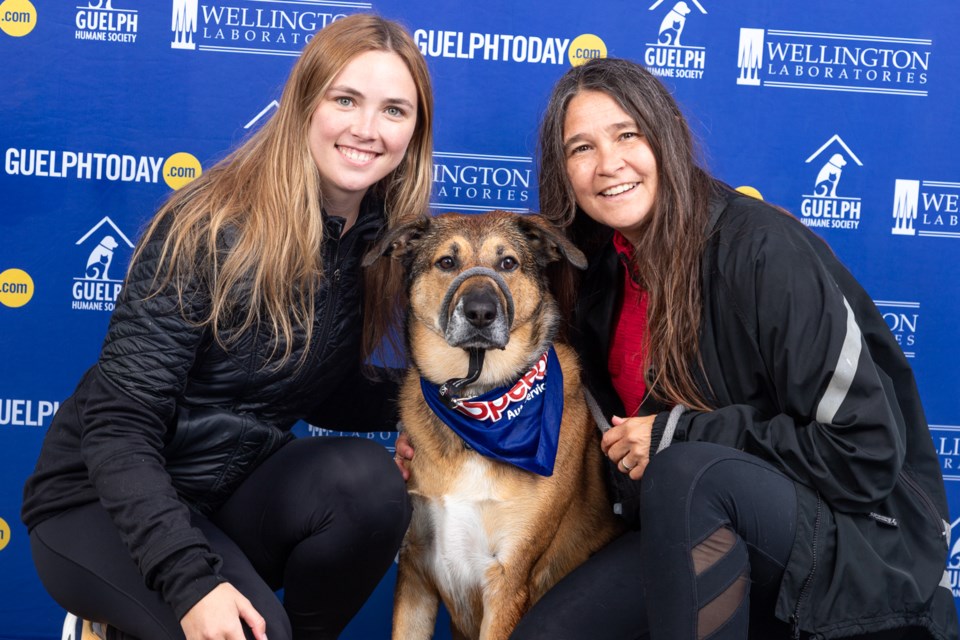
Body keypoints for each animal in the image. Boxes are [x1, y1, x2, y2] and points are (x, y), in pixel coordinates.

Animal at [362, 211, 624, 640]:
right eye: (446, 262)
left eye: (508, 263)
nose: (481, 312)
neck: (480, 401)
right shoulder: (415, 570)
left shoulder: (507, 580)